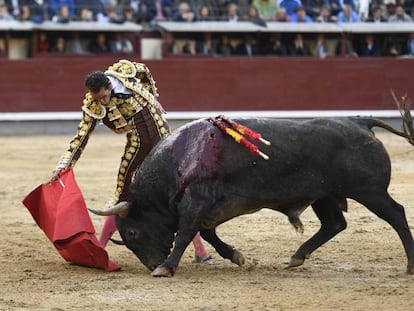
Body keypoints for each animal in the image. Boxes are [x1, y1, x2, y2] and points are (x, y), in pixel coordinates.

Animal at [90, 116, 414, 276]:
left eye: (133, 232)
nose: (151, 264)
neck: (178, 160)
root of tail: (360, 122)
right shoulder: (207, 208)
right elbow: (207, 234)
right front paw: (236, 256)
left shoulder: (197, 201)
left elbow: (183, 234)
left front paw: (167, 268)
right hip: (323, 195)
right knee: (334, 223)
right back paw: (296, 257)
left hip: (370, 191)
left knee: (396, 214)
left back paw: (410, 266)